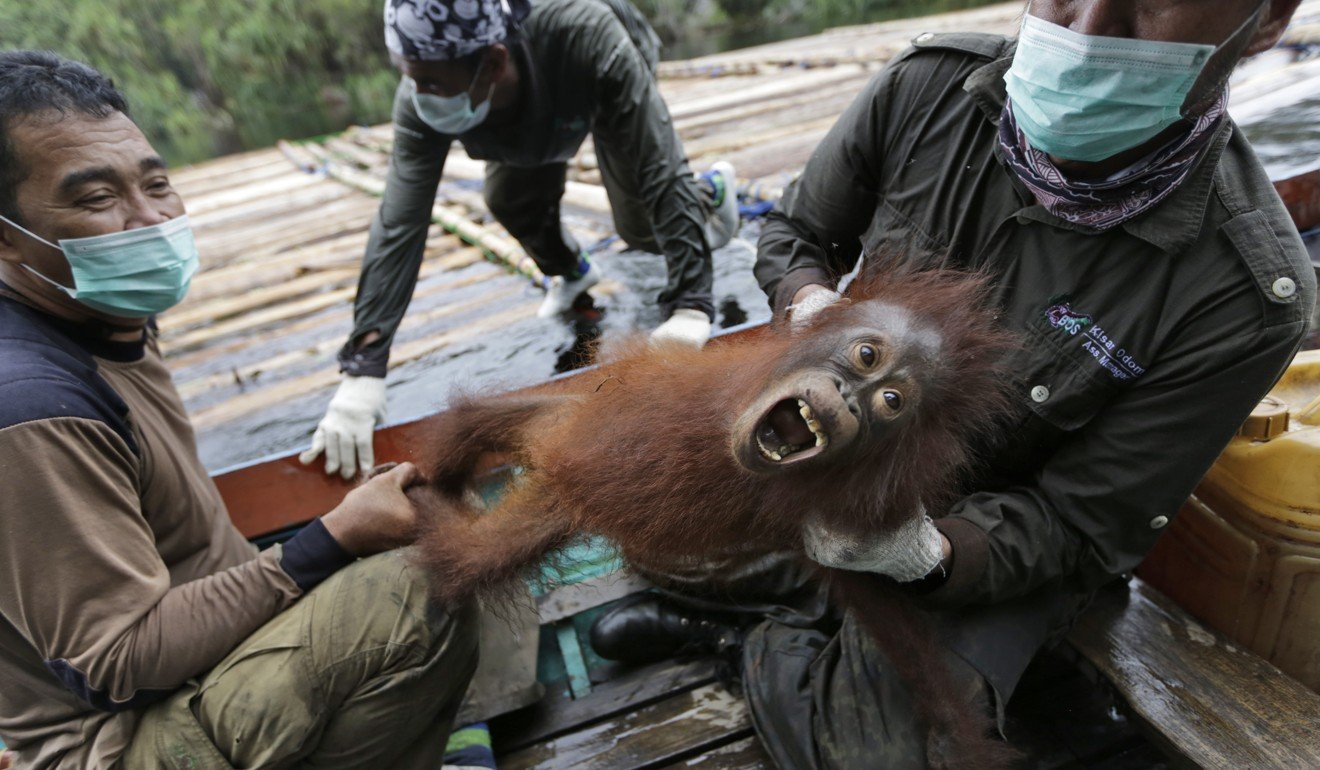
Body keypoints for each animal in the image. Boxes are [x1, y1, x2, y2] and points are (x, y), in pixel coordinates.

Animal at [407, 265, 1019, 767]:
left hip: (554, 487)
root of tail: (549, 464)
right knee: (473, 422)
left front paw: (954, 740)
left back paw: (419, 504)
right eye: (867, 355)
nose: (849, 399)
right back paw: (435, 476)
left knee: (470, 555)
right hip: (569, 416)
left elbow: (889, 620)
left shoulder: (825, 526)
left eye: (891, 402)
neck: (731, 438)